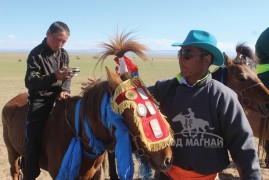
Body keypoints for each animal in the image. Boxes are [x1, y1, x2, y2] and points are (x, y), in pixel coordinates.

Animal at [1, 31, 174, 179]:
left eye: (154, 103)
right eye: (129, 113)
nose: (167, 159)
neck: (80, 133)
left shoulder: (95, 173)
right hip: (12, 152)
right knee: (15, 171)